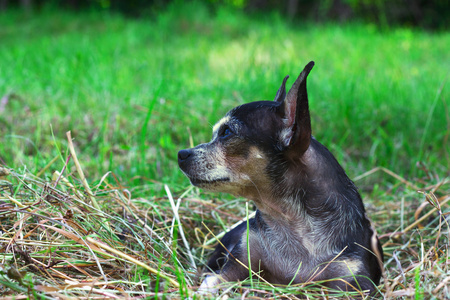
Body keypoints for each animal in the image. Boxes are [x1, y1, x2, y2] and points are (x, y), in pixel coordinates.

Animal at [178, 61, 382, 296]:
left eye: (226, 132)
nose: (181, 154)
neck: (290, 220)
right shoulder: (236, 263)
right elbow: (212, 281)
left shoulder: (354, 282)